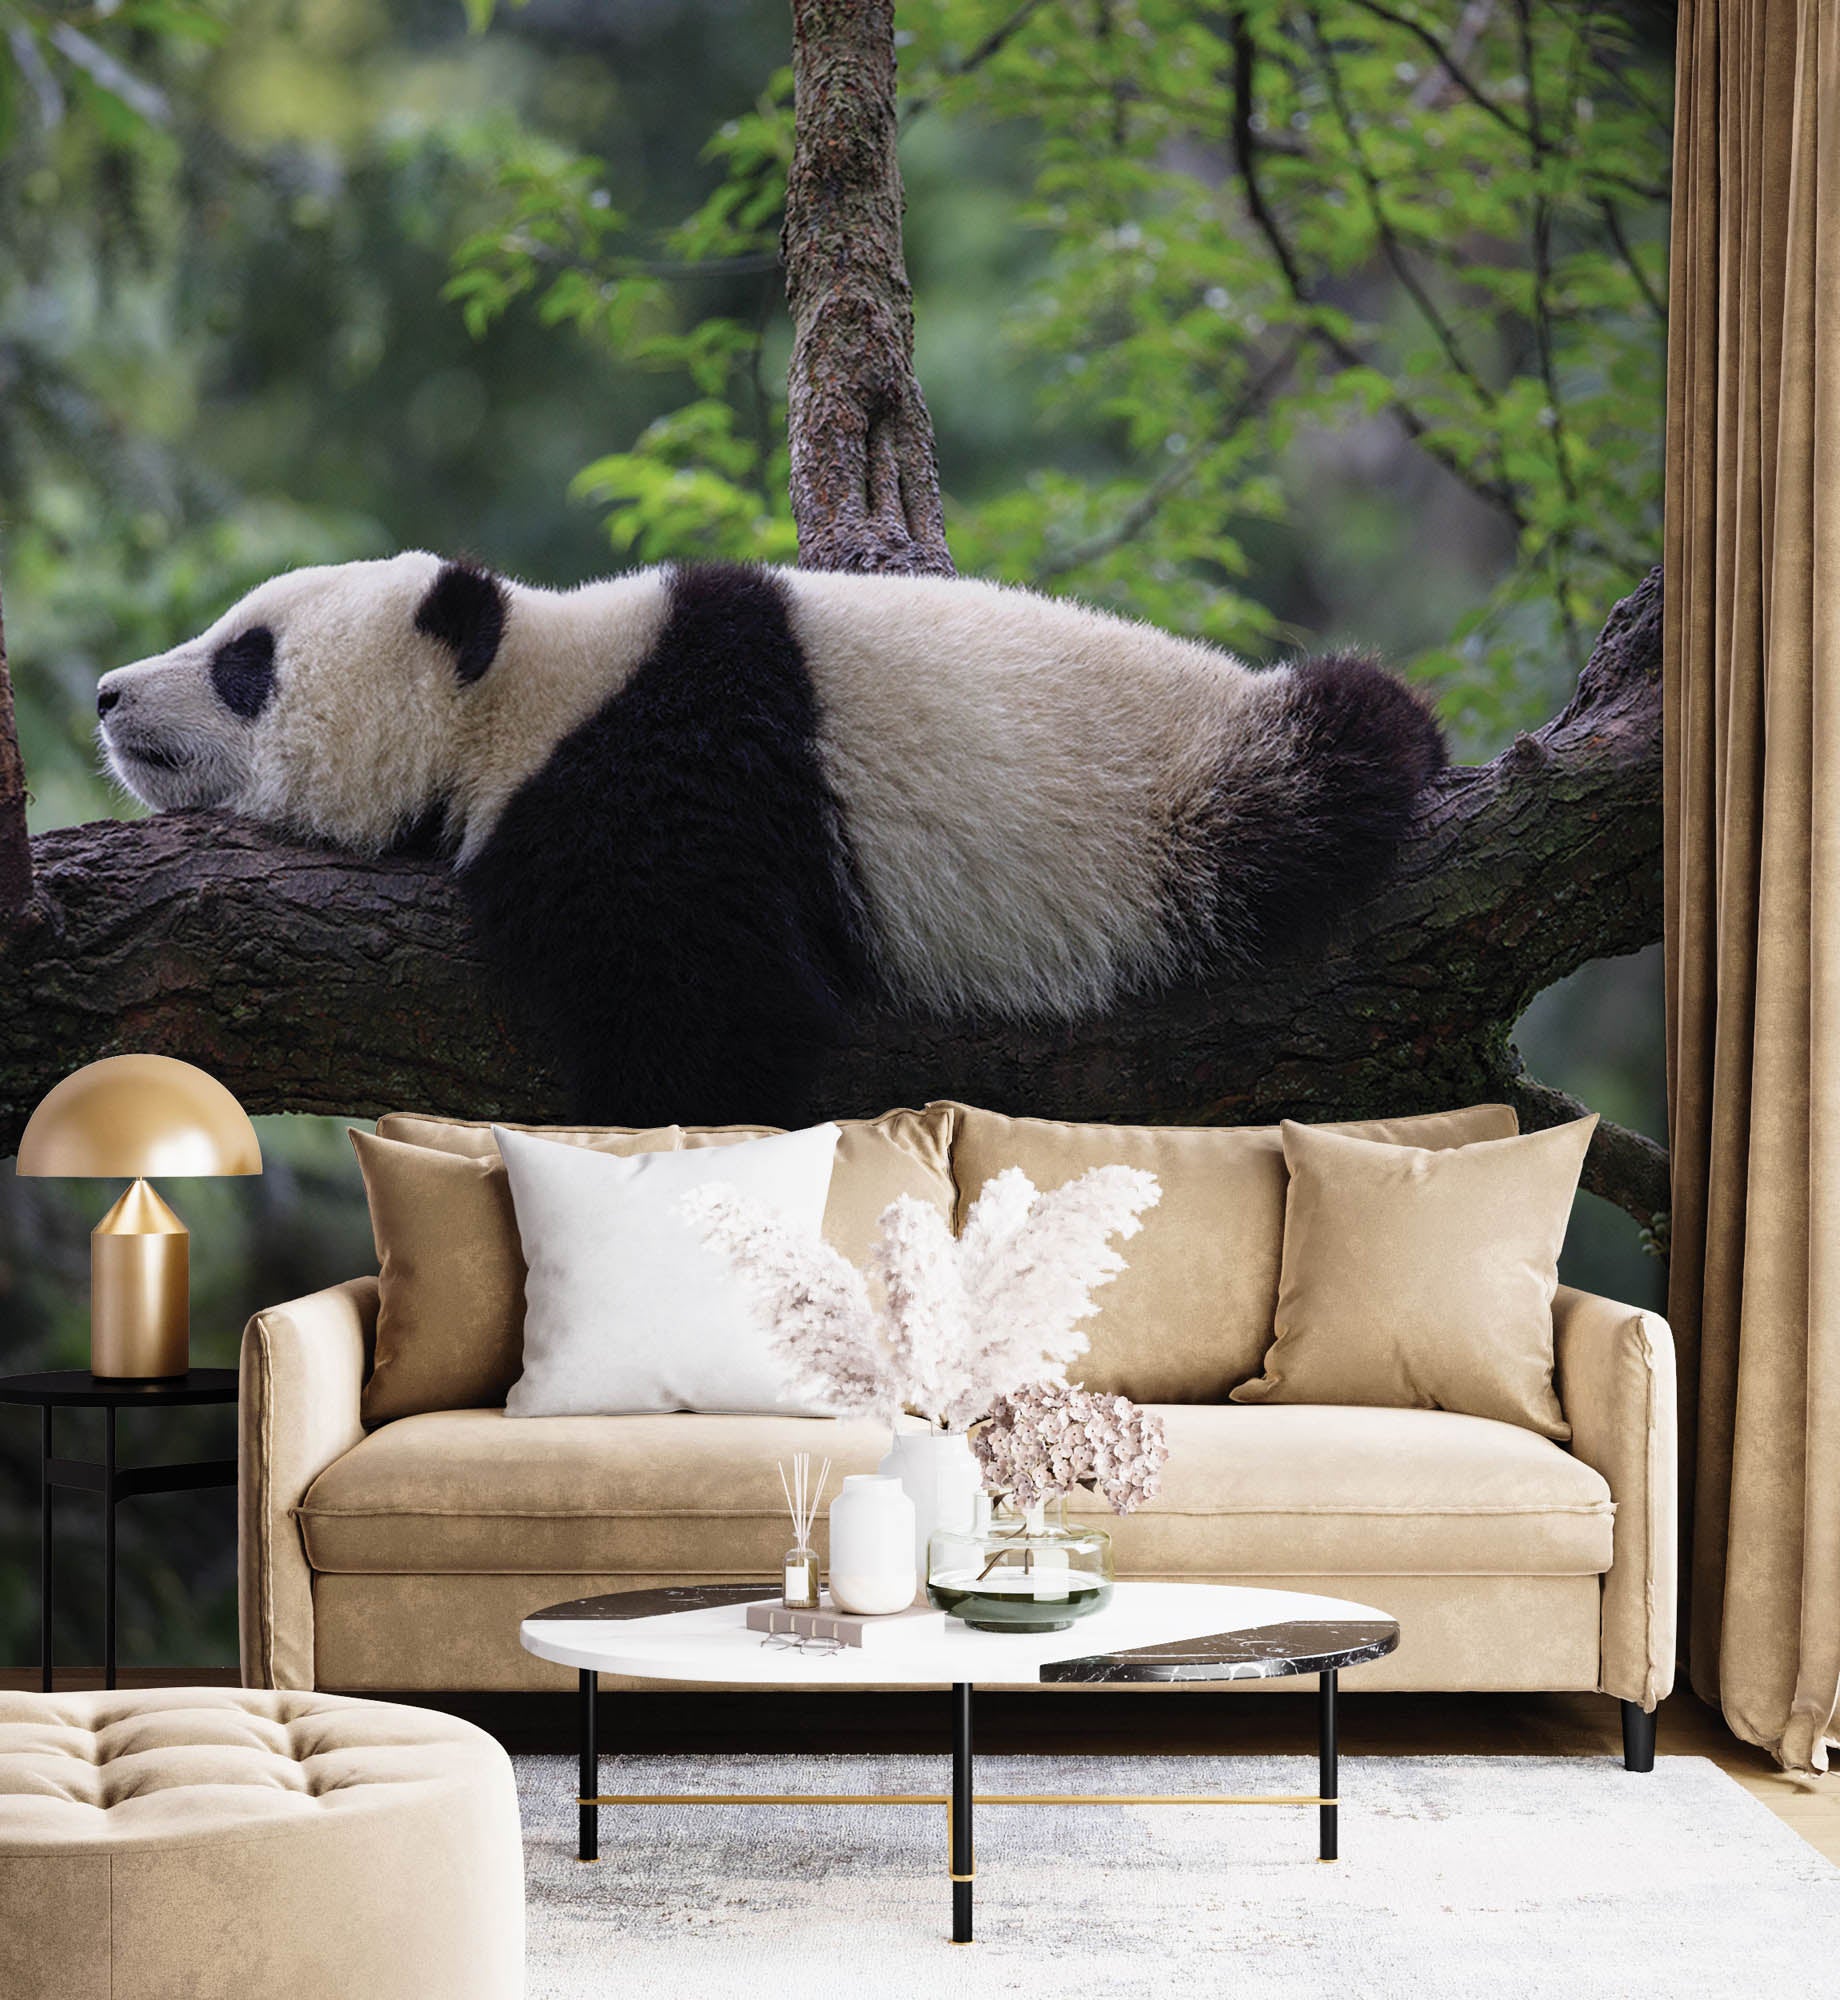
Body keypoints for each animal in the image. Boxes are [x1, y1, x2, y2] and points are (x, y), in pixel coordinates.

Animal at [95, 553, 1444, 1125]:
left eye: (244, 661)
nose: (107, 694)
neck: (526, 689)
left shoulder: (669, 782)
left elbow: (707, 1012)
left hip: (1190, 794)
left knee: (1323, 763)